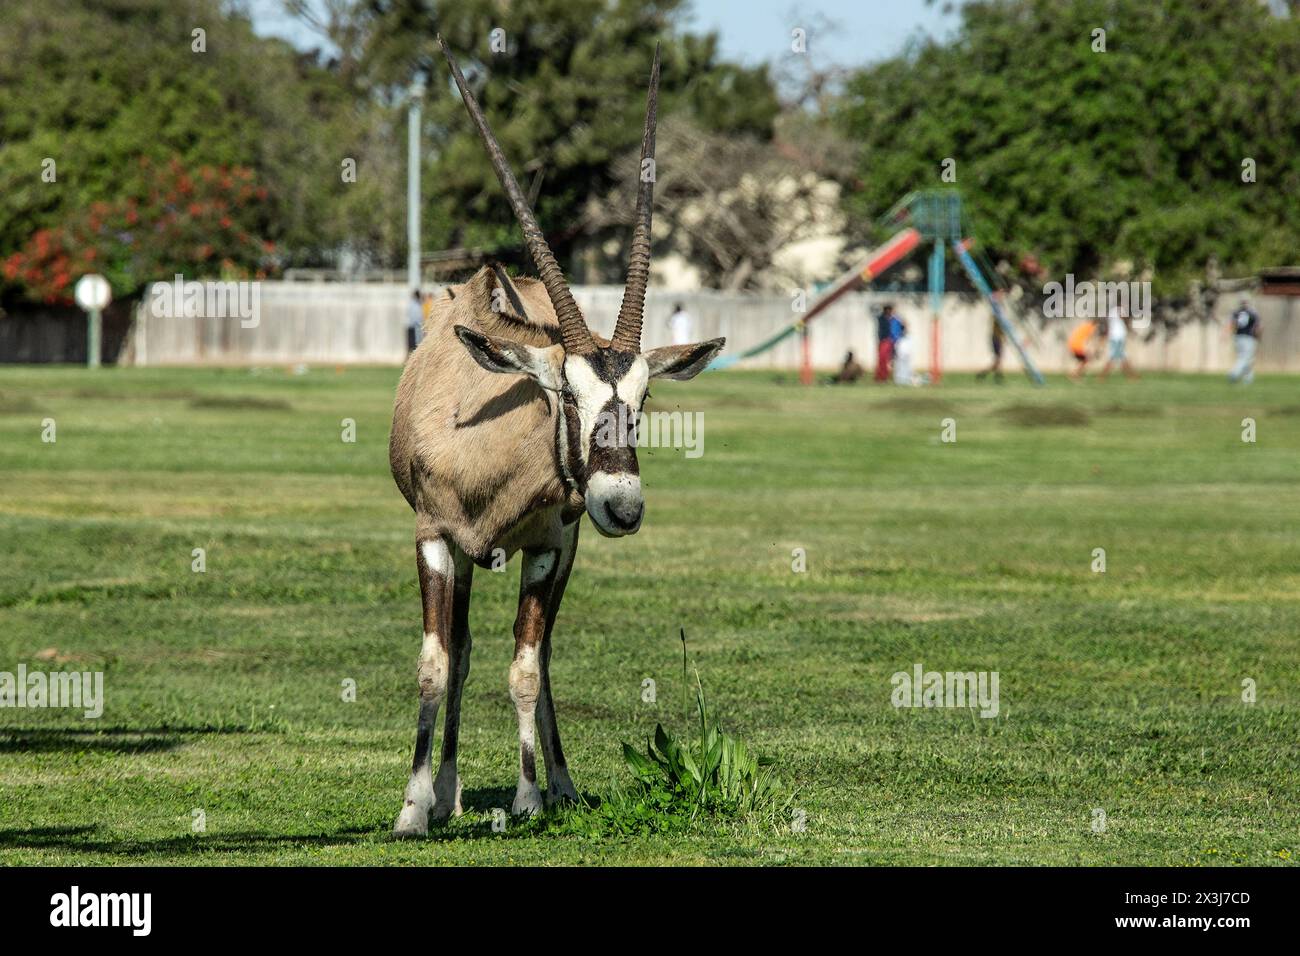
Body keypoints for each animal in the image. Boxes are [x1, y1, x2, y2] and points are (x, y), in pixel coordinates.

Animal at [390, 37, 728, 832]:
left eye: (642, 398)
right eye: (564, 397)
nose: (623, 505)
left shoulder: (548, 547)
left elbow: (524, 666)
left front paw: (530, 795)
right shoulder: (433, 539)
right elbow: (437, 662)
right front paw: (415, 806)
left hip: (562, 548)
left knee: (536, 658)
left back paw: (560, 784)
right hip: (469, 556)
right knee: (463, 650)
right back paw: (447, 792)